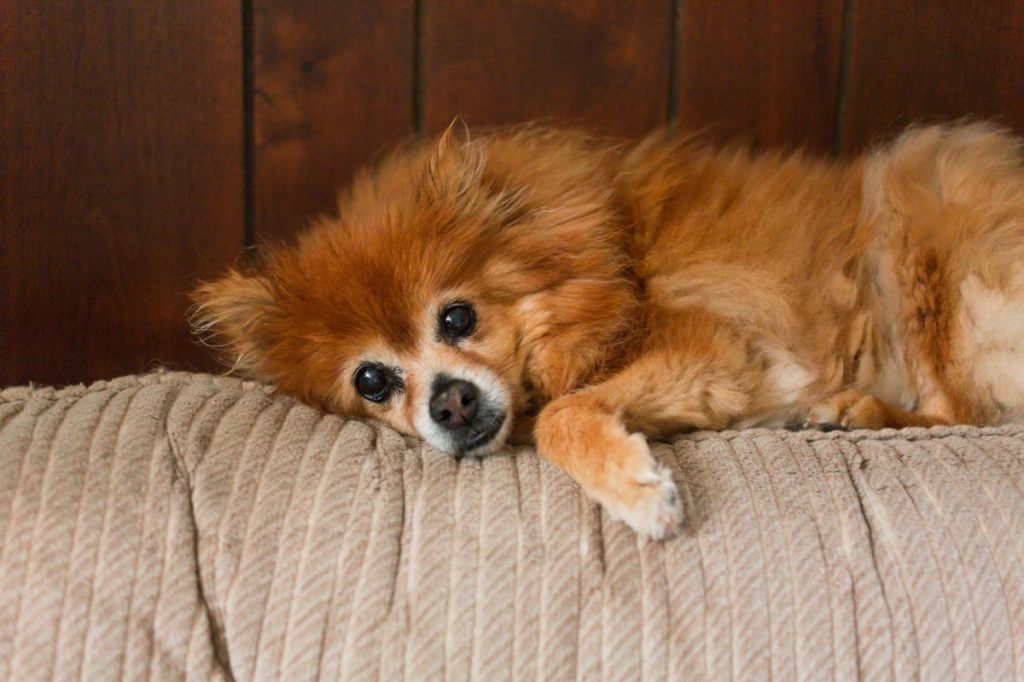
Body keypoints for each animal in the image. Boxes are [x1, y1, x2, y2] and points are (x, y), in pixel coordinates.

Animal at [192, 120, 1024, 536]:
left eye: (458, 317)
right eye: (371, 379)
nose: (451, 402)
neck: (608, 257)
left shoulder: (718, 349)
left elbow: (561, 415)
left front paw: (638, 492)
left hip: (920, 194)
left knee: (966, 412)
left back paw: (858, 411)